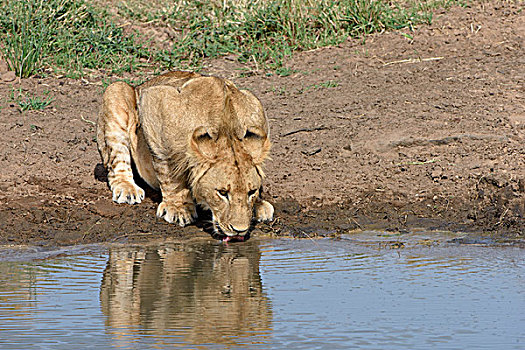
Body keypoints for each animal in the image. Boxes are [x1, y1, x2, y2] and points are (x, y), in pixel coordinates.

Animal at [96, 71, 274, 241]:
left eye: (251, 192)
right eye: (222, 193)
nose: (240, 230)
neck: (227, 127)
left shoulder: (255, 105)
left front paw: (259, 205)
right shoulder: (156, 100)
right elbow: (169, 171)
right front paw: (178, 208)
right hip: (116, 90)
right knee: (116, 162)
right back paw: (127, 189)